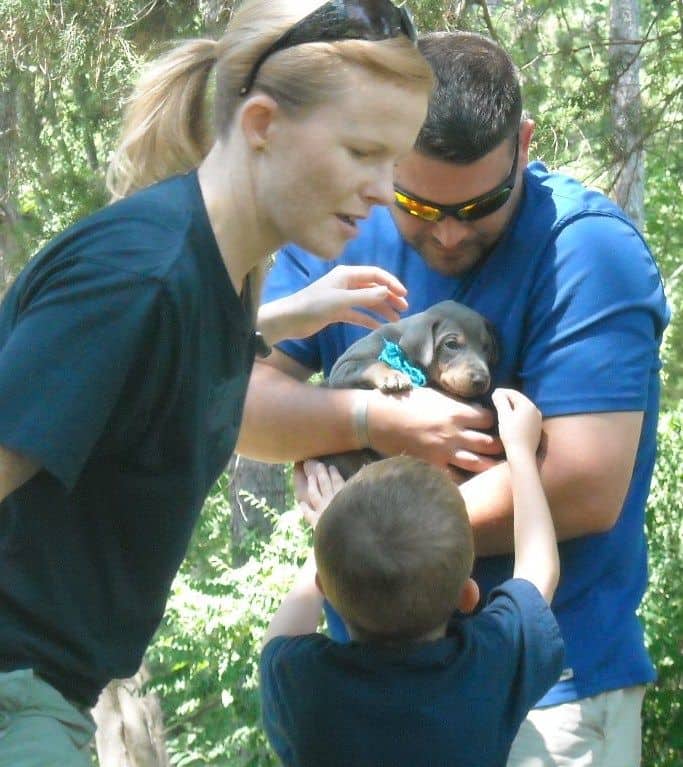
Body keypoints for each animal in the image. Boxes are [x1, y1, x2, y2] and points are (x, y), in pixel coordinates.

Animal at [318, 302, 500, 476]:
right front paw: (393, 375)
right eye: (451, 344)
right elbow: (373, 363)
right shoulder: (342, 368)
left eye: (487, 347)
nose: (481, 380)